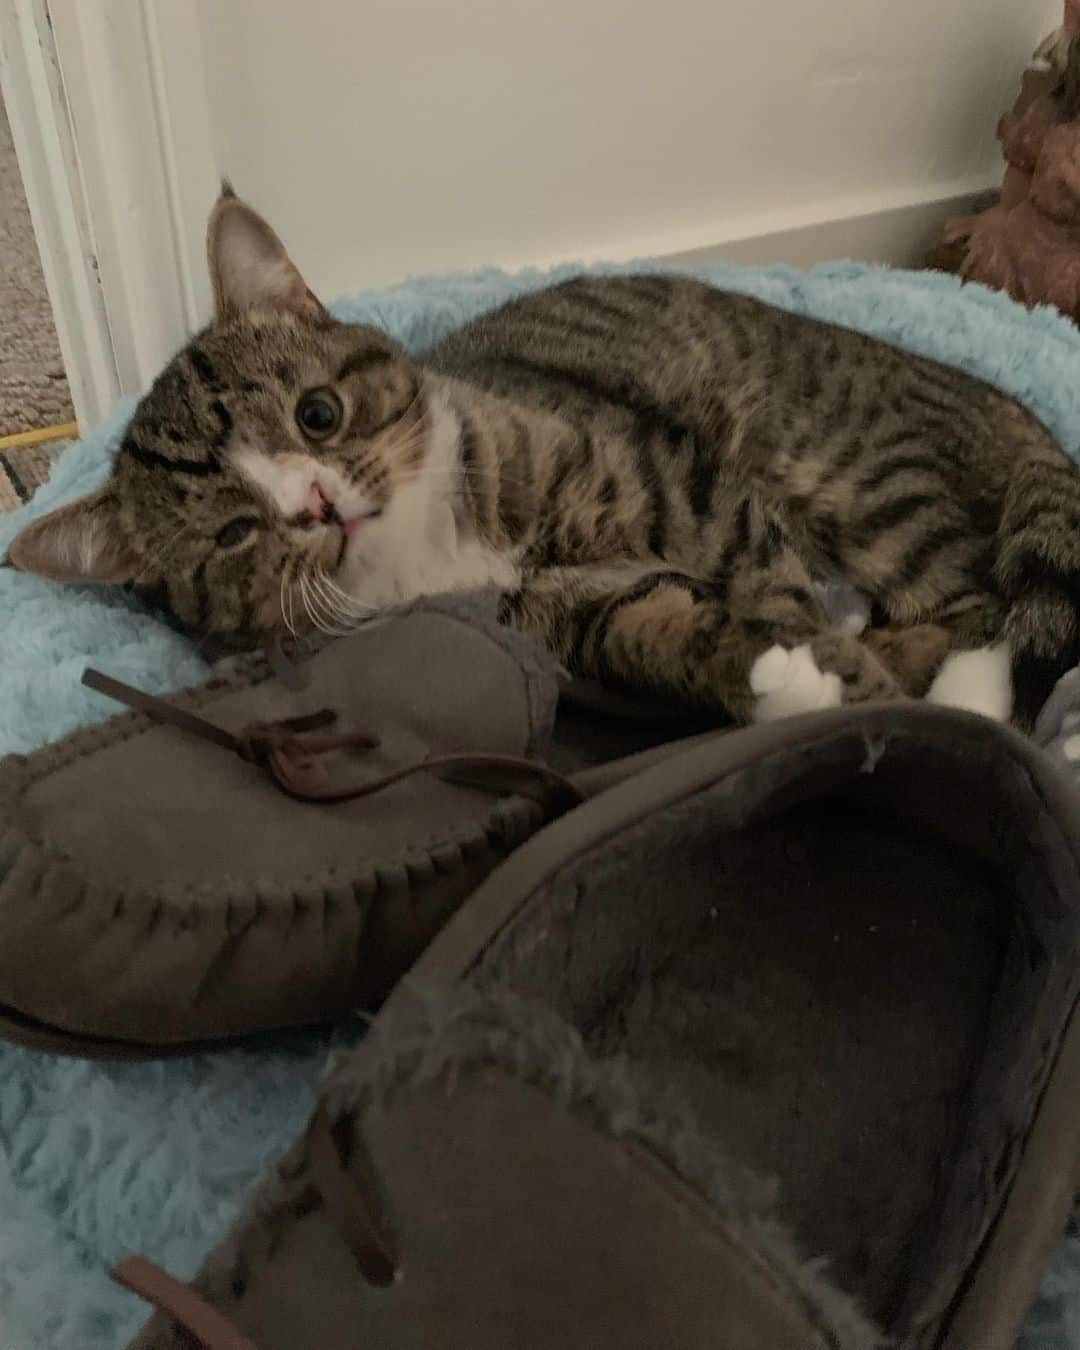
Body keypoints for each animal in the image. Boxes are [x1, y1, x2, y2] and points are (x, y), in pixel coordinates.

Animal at [8, 189, 1080, 729]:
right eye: (234, 533)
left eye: (318, 415)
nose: (317, 506)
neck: (432, 549)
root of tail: (996, 396)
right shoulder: (584, 616)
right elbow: (673, 635)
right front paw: (782, 679)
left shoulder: (695, 491)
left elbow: (774, 594)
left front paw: (847, 694)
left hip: (855, 476)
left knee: (979, 606)